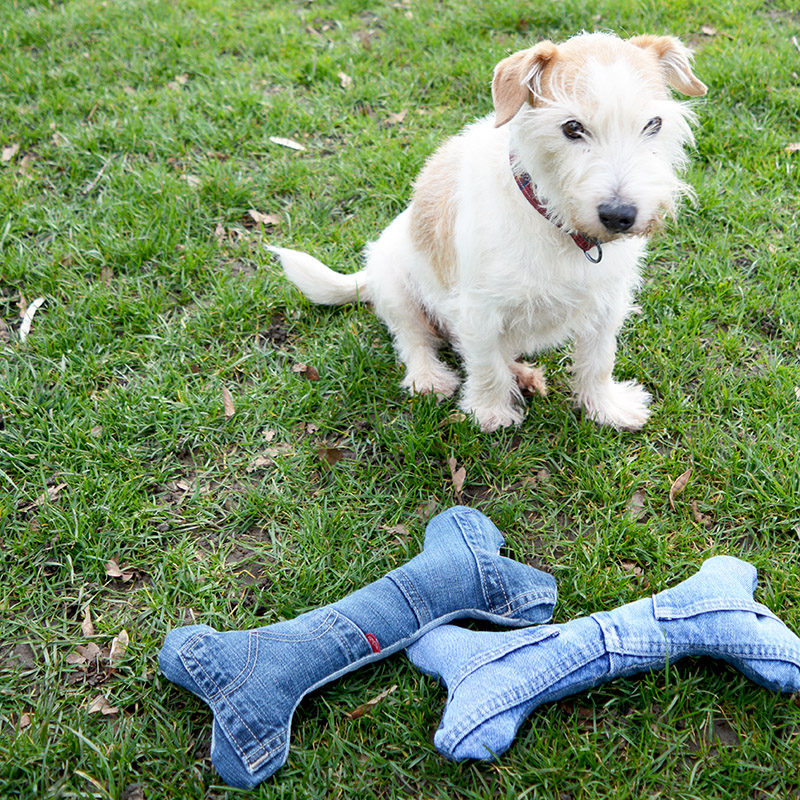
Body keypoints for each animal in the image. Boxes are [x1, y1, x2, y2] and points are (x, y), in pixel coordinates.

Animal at [270, 31, 708, 432]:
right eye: (572, 127)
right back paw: (430, 377)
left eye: (653, 123)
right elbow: (484, 364)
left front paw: (606, 408)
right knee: (414, 339)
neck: (555, 221)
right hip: (396, 286)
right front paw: (490, 413)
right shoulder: (479, 311)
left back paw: (523, 374)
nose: (619, 215)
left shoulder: (607, 302)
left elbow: (598, 360)